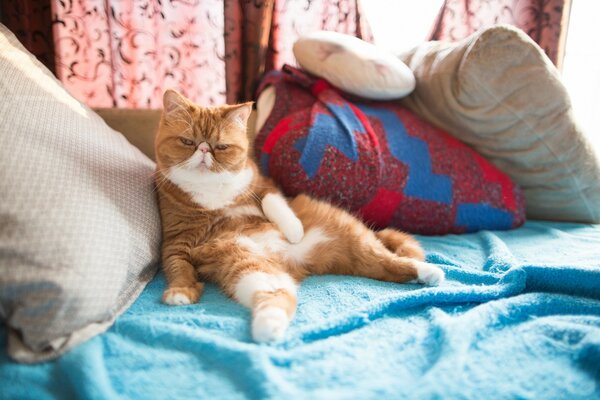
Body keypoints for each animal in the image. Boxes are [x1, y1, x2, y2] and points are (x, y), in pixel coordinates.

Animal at [155, 89, 446, 342]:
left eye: (222, 146)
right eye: (187, 142)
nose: (204, 150)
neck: (211, 192)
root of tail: (294, 261)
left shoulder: (263, 183)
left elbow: (275, 204)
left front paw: (294, 230)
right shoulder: (176, 240)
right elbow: (178, 266)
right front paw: (181, 291)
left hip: (355, 239)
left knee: (391, 261)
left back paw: (430, 272)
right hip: (250, 266)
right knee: (279, 296)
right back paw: (269, 329)